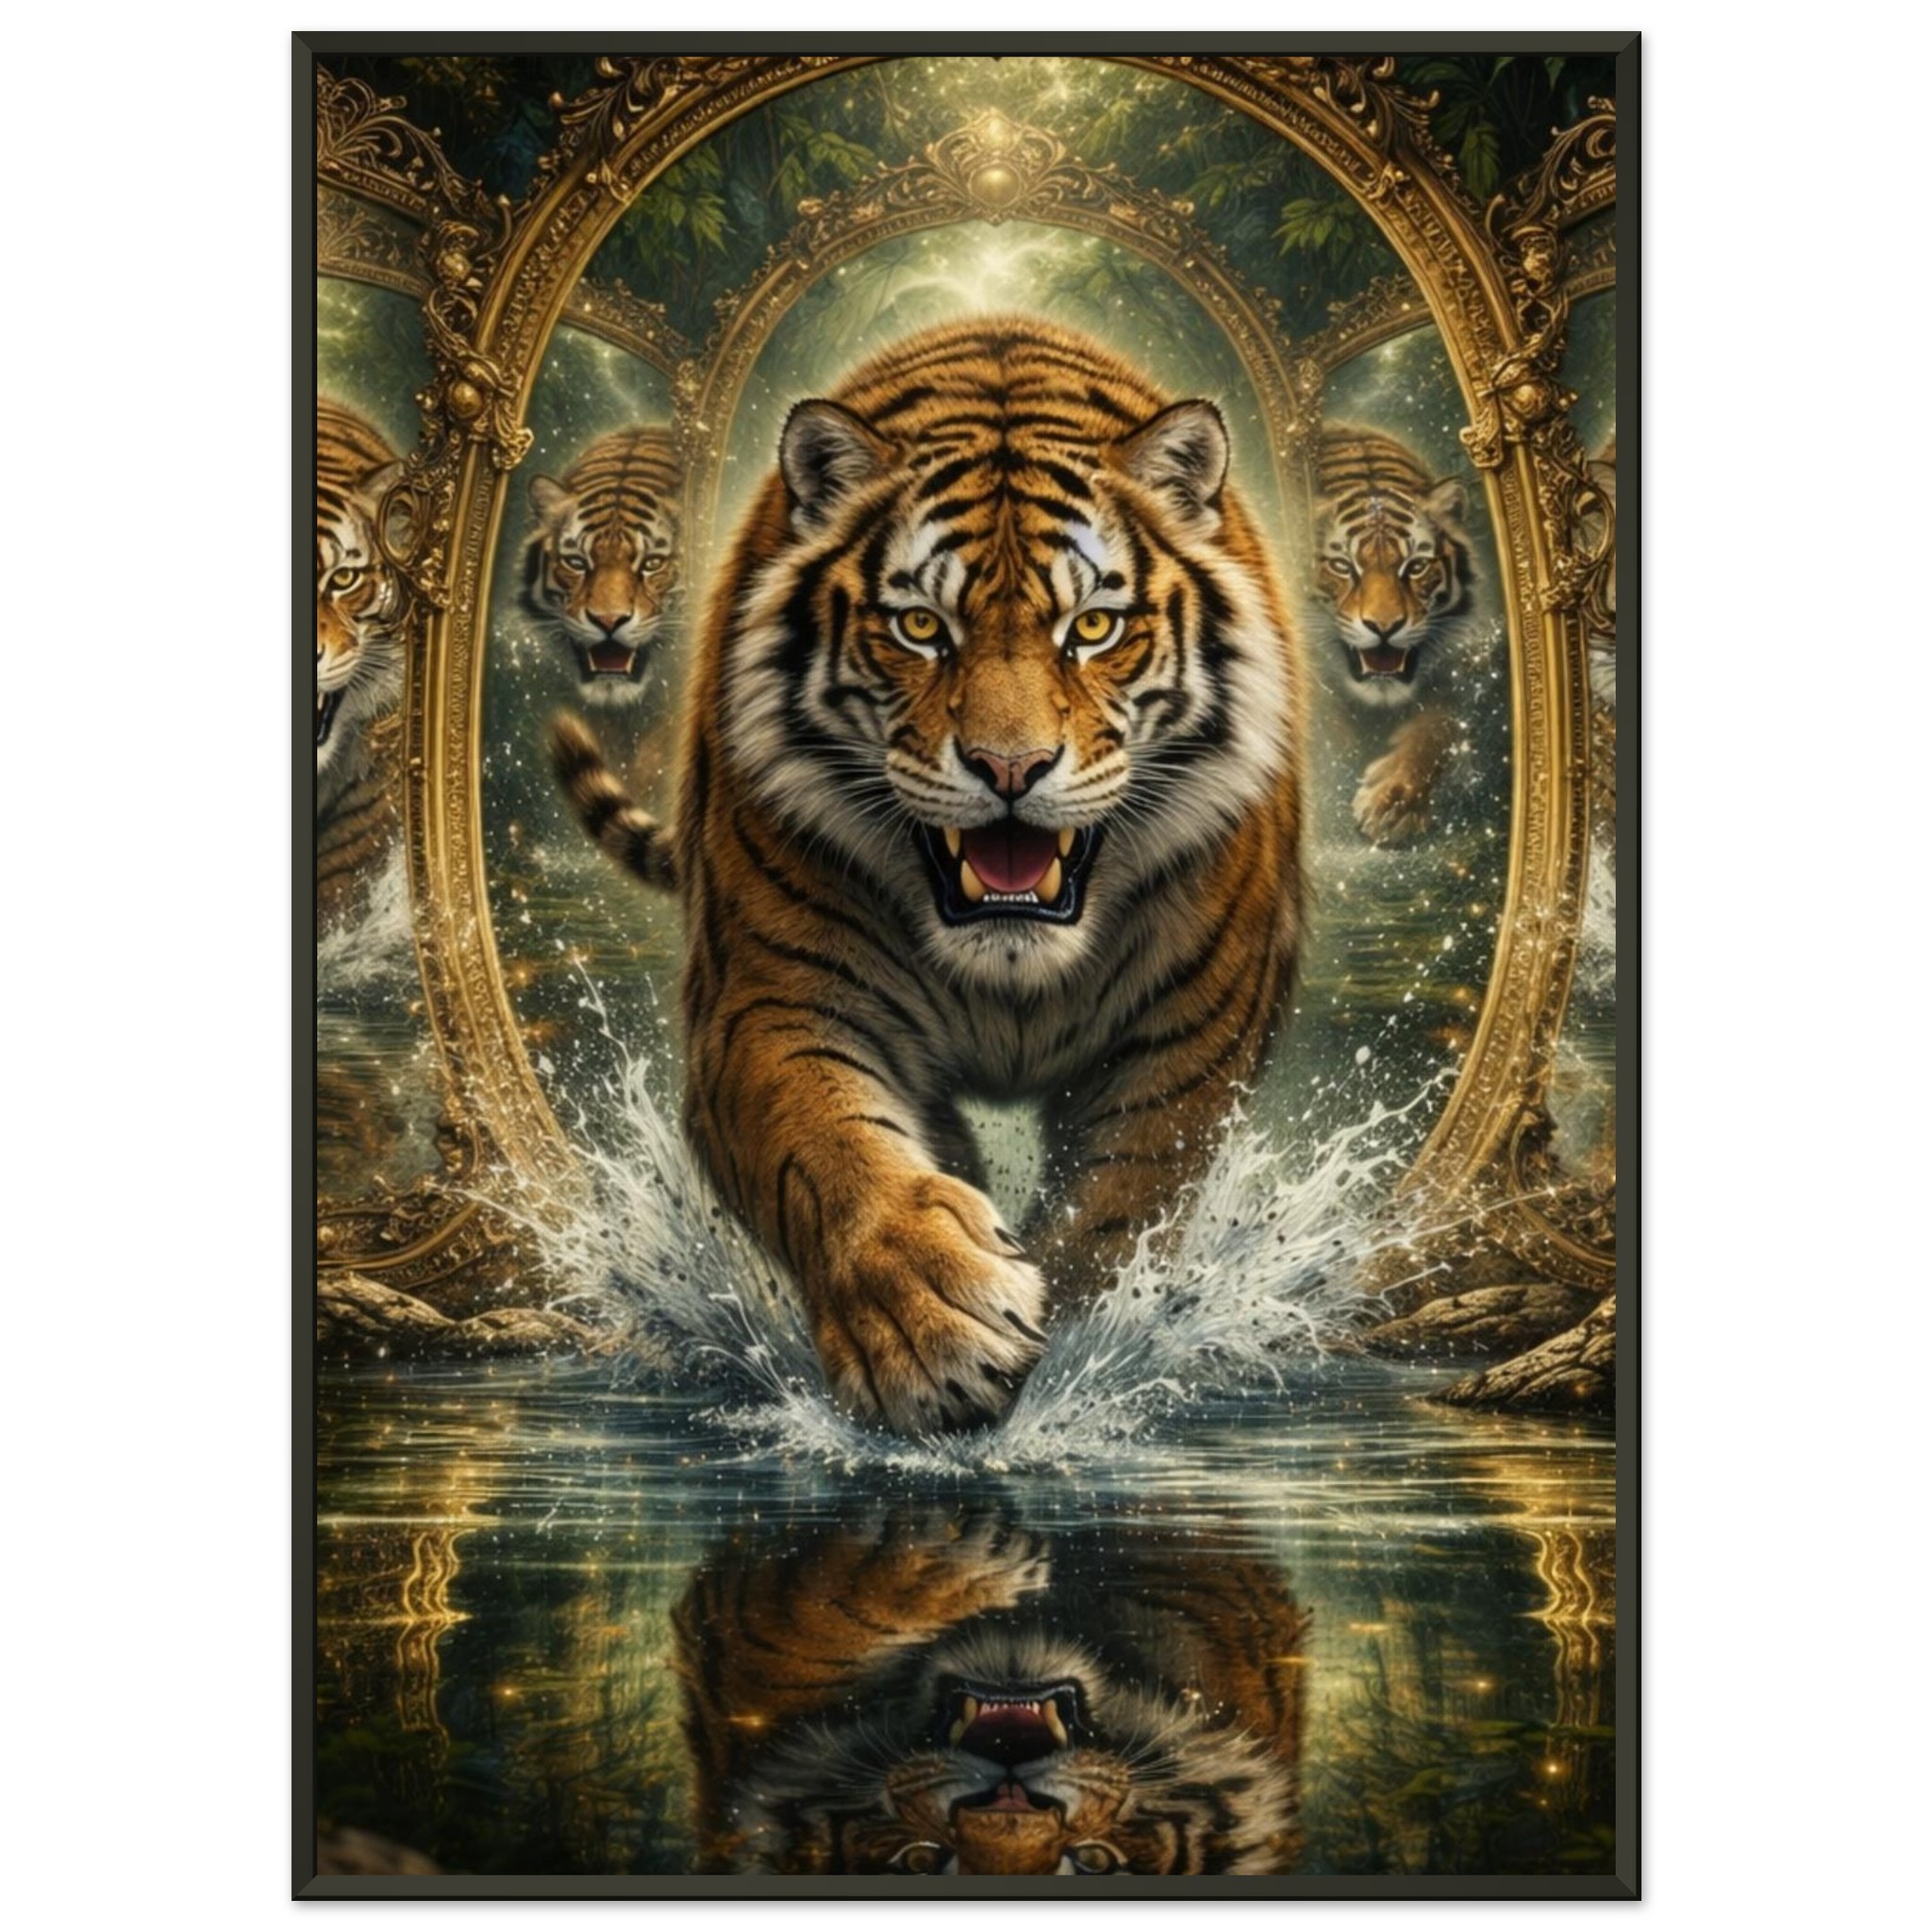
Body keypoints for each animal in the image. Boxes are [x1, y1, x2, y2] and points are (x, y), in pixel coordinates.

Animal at [554, 316, 1304, 1436]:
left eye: (1091, 629)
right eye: (920, 628)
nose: (1009, 768)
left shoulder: (1189, 1041)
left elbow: (1120, 1204)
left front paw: (1079, 1352)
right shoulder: (767, 1005)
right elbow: (829, 1146)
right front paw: (930, 1322)